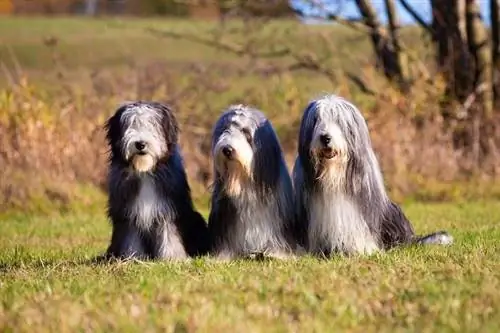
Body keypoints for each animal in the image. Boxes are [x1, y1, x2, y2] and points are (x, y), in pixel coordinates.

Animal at [103, 100, 209, 260]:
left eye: (152, 124)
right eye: (131, 124)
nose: (140, 144)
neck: (145, 171)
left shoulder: (167, 210)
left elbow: (170, 236)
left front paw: (173, 258)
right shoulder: (129, 214)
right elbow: (131, 238)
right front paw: (133, 258)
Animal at [208, 104, 300, 260]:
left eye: (245, 132)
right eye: (225, 130)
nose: (227, 149)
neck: (245, 183)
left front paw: (277, 253)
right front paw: (223, 257)